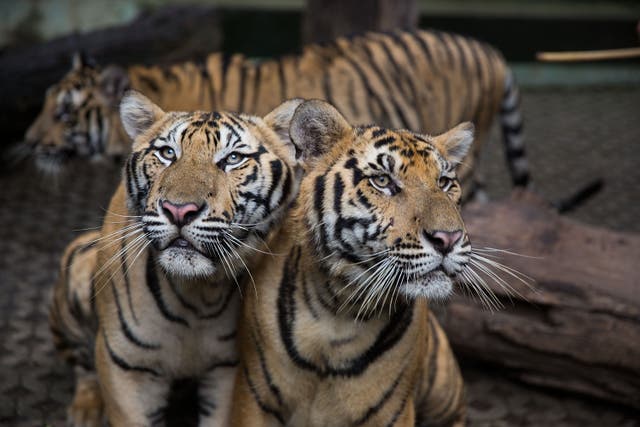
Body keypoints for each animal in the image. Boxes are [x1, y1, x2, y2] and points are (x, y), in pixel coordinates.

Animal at [49, 91, 307, 426]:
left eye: (233, 159)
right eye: (167, 153)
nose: (179, 210)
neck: (197, 296)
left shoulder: (227, 368)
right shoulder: (126, 367)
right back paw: (85, 410)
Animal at [231, 99, 472, 427]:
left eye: (445, 183)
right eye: (382, 181)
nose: (448, 238)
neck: (339, 311)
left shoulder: (392, 412)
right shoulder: (254, 399)